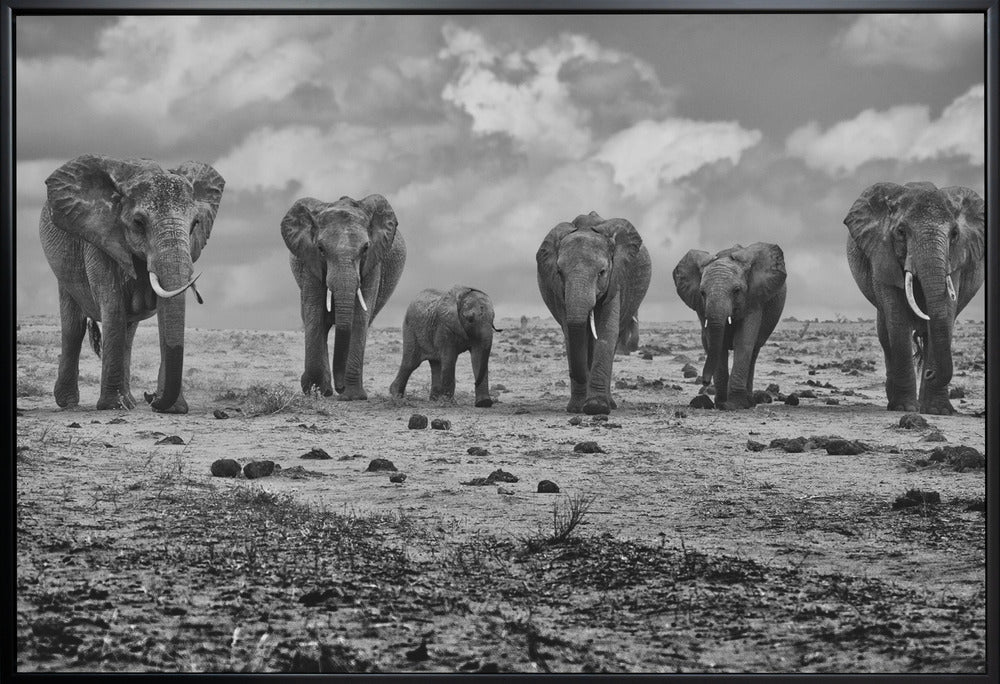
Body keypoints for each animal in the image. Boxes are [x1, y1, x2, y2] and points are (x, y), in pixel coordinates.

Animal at [39, 154, 224, 413]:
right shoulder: (101, 241)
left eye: (196, 224)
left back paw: (129, 402)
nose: (151, 396)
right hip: (62, 266)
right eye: (138, 222)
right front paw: (112, 406)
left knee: (128, 332)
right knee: (74, 326)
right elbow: (113, 308)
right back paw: (69, 403)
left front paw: (173, 409)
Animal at [281, 194, 406, 400]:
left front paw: (353, 396)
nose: (340, 387)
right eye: (321, 248)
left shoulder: (373, 263)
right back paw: (323, 390)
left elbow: (360, 317)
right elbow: (314, 312)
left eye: (365, 248)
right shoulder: (310, 261)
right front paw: (315, 391)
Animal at [536, 211, 651, 414]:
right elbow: (571, 334)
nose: (580, 375)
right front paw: (577, 408)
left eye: (602, 272)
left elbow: (606, 332)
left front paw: (596, 407)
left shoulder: (616, 280)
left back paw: (610, 404)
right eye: (559, 272)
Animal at [673, 243, 786, 410]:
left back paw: (749, 403)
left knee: (753, 352)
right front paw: (721, 403)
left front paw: (734, 404)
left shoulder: (753, 299)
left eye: (736, 291)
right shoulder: (701, 306)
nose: (705, 381)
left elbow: (743, 341)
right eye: (702, 293)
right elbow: (716, 343)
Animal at [844, 182, 984, 415]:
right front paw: (905, 407)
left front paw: (938, 411)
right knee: (886, 336)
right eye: (901, 231)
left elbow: (947, 313)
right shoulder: (882, 255)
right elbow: (897, 320)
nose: (930, 373)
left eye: (955, 233)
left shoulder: (956, 260)